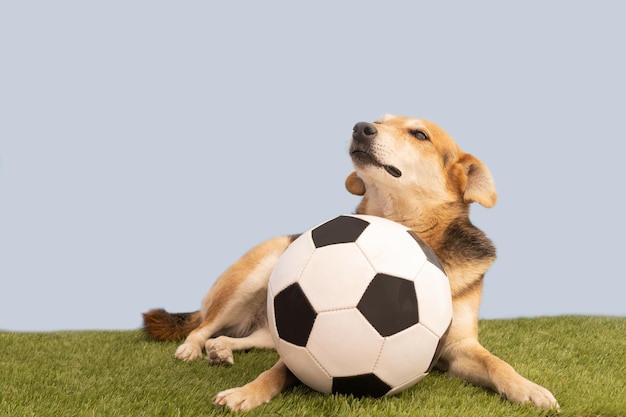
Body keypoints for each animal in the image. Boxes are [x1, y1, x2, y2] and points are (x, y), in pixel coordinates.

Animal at [141, 114, 556, 410]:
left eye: (419, 134)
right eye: (381, 119)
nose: (360, 127)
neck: (410, 229)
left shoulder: (460, 348)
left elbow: (498, 363)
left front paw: (528, 388)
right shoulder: (301, 346)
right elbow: (277, 370)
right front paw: (247, 392)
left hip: (268, 323)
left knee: (248, 337)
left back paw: (222, 349)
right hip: (256, 270)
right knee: (204, 325)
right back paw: (195, 347)